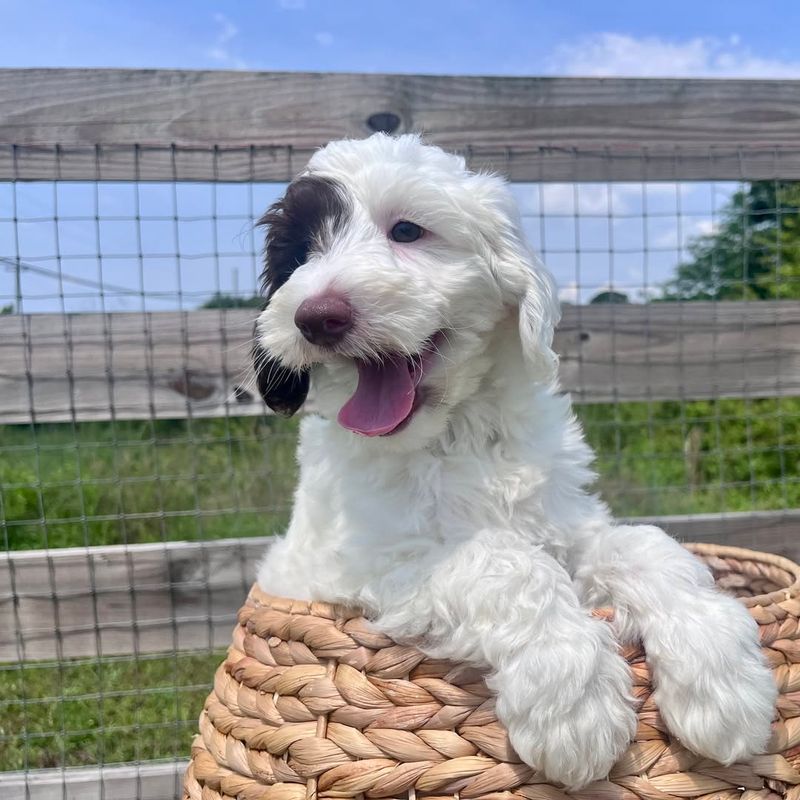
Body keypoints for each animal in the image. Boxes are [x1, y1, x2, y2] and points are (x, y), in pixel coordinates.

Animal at [252, 133, 776, 788]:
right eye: (299, 256)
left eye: (407, 230)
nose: (316, 317)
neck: (459, 433)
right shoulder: (367, 567)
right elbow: (503, 560)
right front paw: (572, 702)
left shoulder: (568, 528)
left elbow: (643, 544)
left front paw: (720, 677)